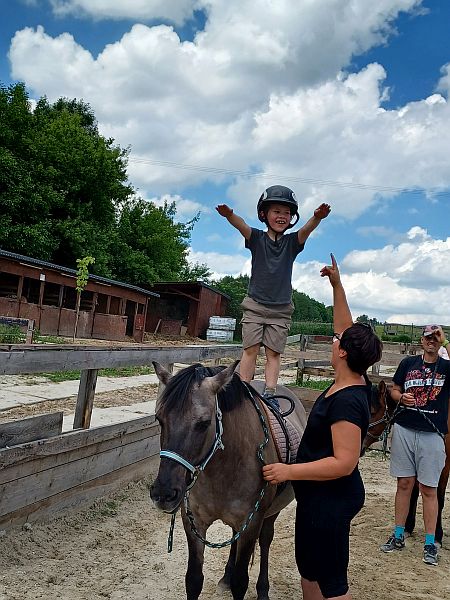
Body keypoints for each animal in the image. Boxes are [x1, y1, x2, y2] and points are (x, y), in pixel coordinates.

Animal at [149, 360, 307, 600]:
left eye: (204, 423)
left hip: (272, 512)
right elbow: (193, 580)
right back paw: (226, 576)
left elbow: (240, 582)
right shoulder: (194, 522)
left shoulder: (251, 524)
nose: (163, 494)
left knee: (266, 541)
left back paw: (263, 589)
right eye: (160, 419)